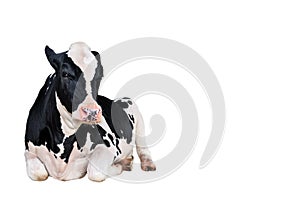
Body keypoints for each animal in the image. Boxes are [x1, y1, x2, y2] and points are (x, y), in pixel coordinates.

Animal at [24, 42, 156, 181]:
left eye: (99, 76)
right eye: (65, 74)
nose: (91, 112)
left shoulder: (107, 147)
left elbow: (95, 172)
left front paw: (120, 165)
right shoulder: (28, 150)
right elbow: (39, 173)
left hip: (136, 115)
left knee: (143, 148)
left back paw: (145, 164)